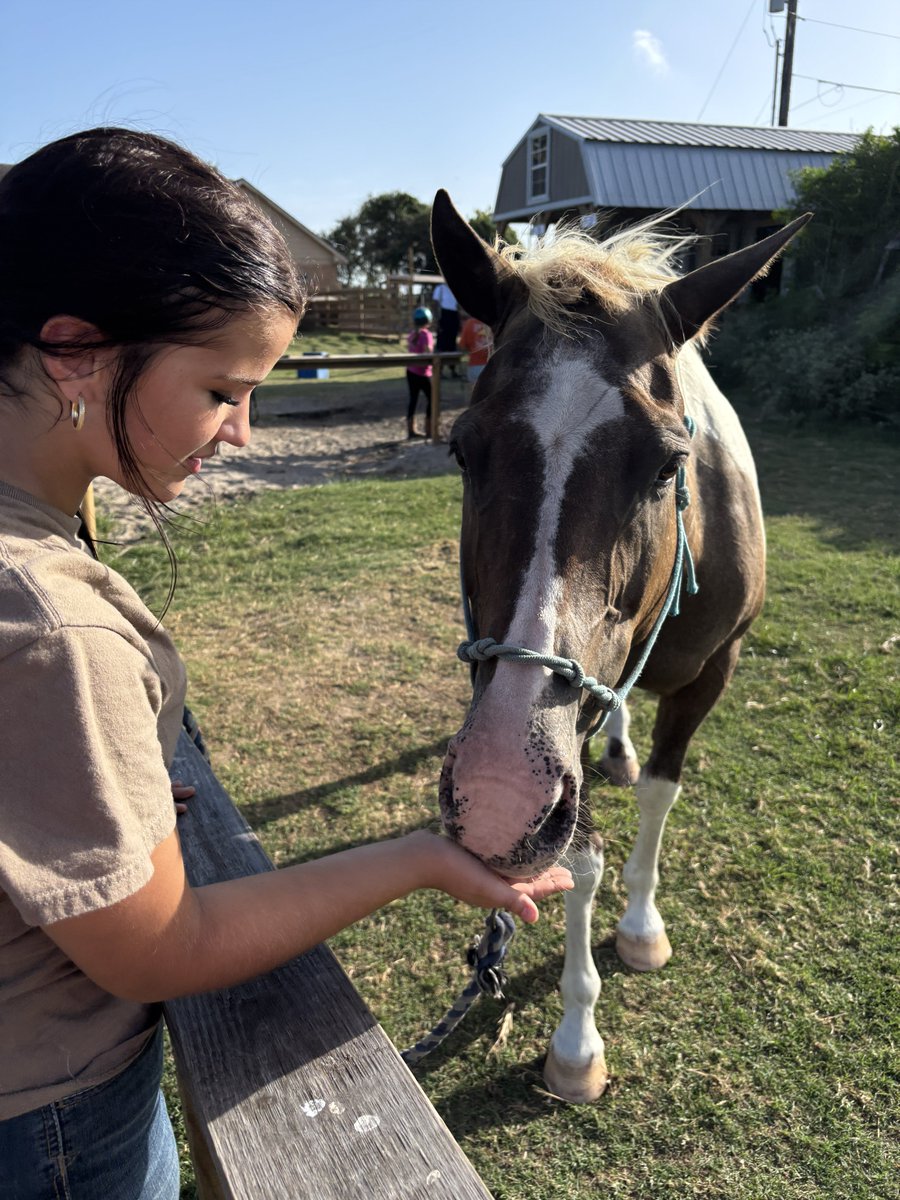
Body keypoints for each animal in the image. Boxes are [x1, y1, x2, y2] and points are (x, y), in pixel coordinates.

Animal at [429, 191, 810, 1103]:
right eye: (463, 448)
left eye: (669, 462)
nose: (497, 797)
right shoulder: (555, 743)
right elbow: (581, 860)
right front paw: (576, 1040)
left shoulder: (712, 675)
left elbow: (660, 800)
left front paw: (640, 926)